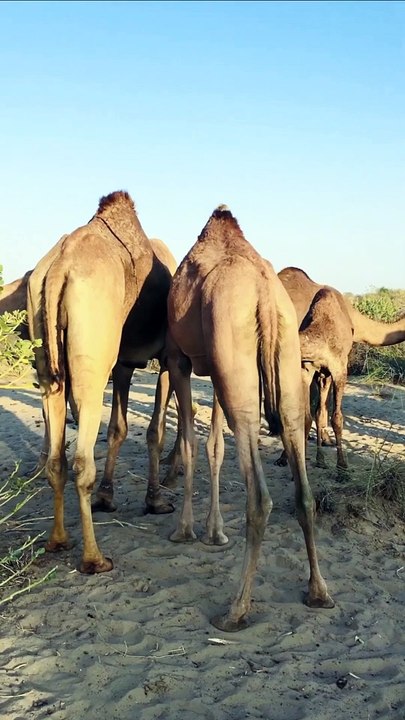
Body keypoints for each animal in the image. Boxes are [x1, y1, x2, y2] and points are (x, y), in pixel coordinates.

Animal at [27, 191, 177, 573]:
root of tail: (60, 267)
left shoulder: (123, 363)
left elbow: (118, 429)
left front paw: (107, 497)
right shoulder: (168, 359)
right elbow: (154, 431)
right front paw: (156, 501)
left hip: (47, 360)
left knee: (58, 455)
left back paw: (57, 541)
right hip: (92, 360)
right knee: (82, 460)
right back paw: (94, 558)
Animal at [166, 205, 333, 631]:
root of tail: (264, 293)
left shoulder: (179, 359)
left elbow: (191, 440)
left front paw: (185, 531)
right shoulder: (215, 365)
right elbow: (213, 443)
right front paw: (213, 532)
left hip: (233, 351)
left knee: (258, 496)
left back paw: (236, 609)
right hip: (282, 357)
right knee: (301, 484)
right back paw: (319, 593)